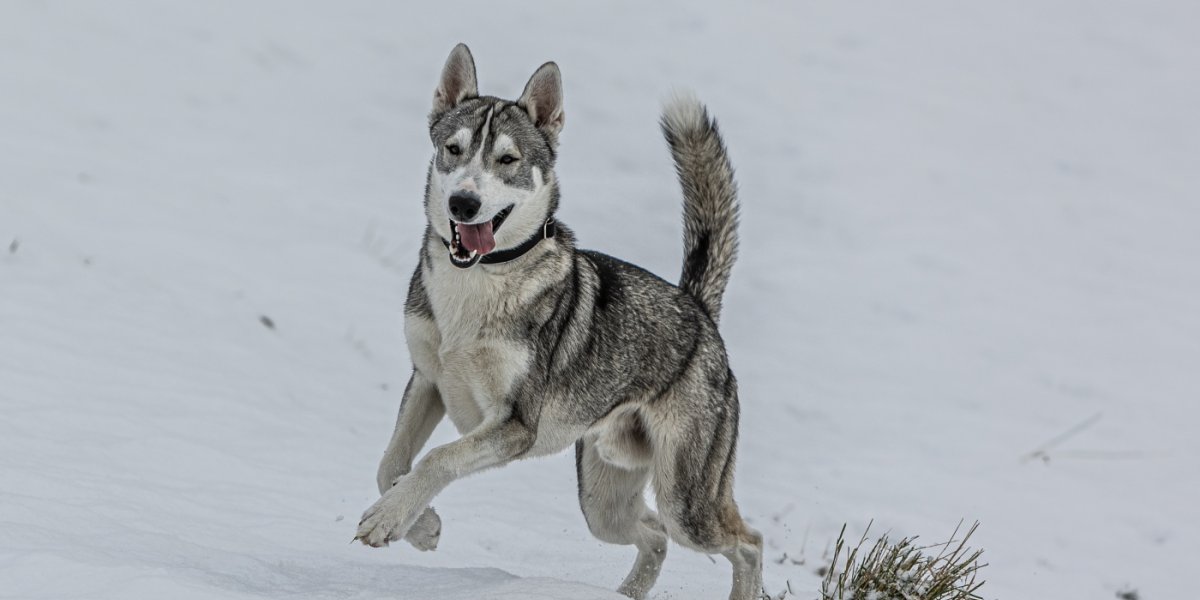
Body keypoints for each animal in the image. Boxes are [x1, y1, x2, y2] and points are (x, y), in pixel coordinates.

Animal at [355, 44, 763, 597]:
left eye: (507, 160)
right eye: (453, 150)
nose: (463, 202)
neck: (478, 284)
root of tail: (697, 307)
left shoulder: (514, 425)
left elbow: (438, 458)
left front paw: (392, 518)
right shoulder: (428, 382)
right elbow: (390, 465)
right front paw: (419, 525)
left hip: (686, 501)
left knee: (748, 542)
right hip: (603, 499)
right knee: (654, 534)